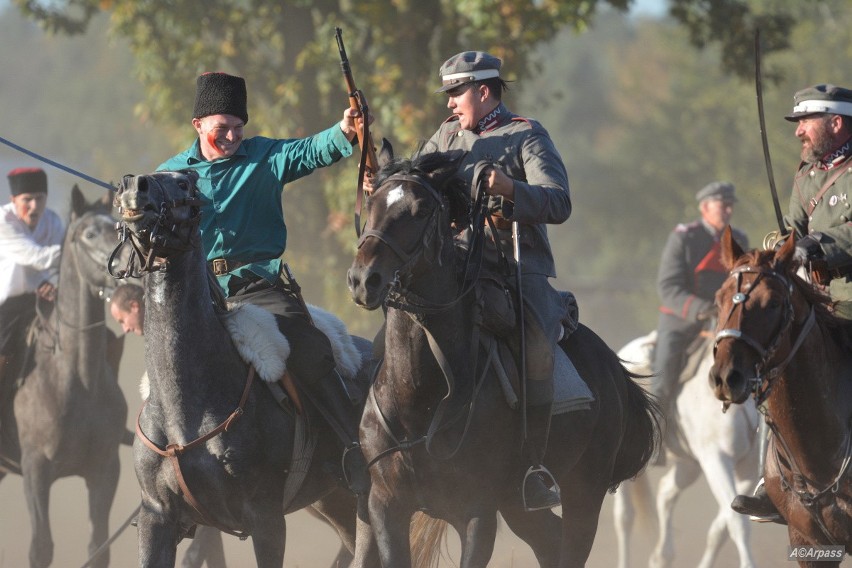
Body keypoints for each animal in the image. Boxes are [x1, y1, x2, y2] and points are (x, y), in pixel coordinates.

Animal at [0, 187, 128, 568]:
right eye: (89, 234)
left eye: (118, 227)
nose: (127, 267)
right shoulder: (35, 472)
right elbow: (41, 547)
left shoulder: (105, 470)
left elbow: (99, 546)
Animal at [612, 330, 760, 564]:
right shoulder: (716, 461)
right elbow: (737, 524)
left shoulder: (749, 471)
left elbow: (722, 528)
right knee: (625, 517)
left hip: (689, 466)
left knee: (666, 492)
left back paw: (661, 557)